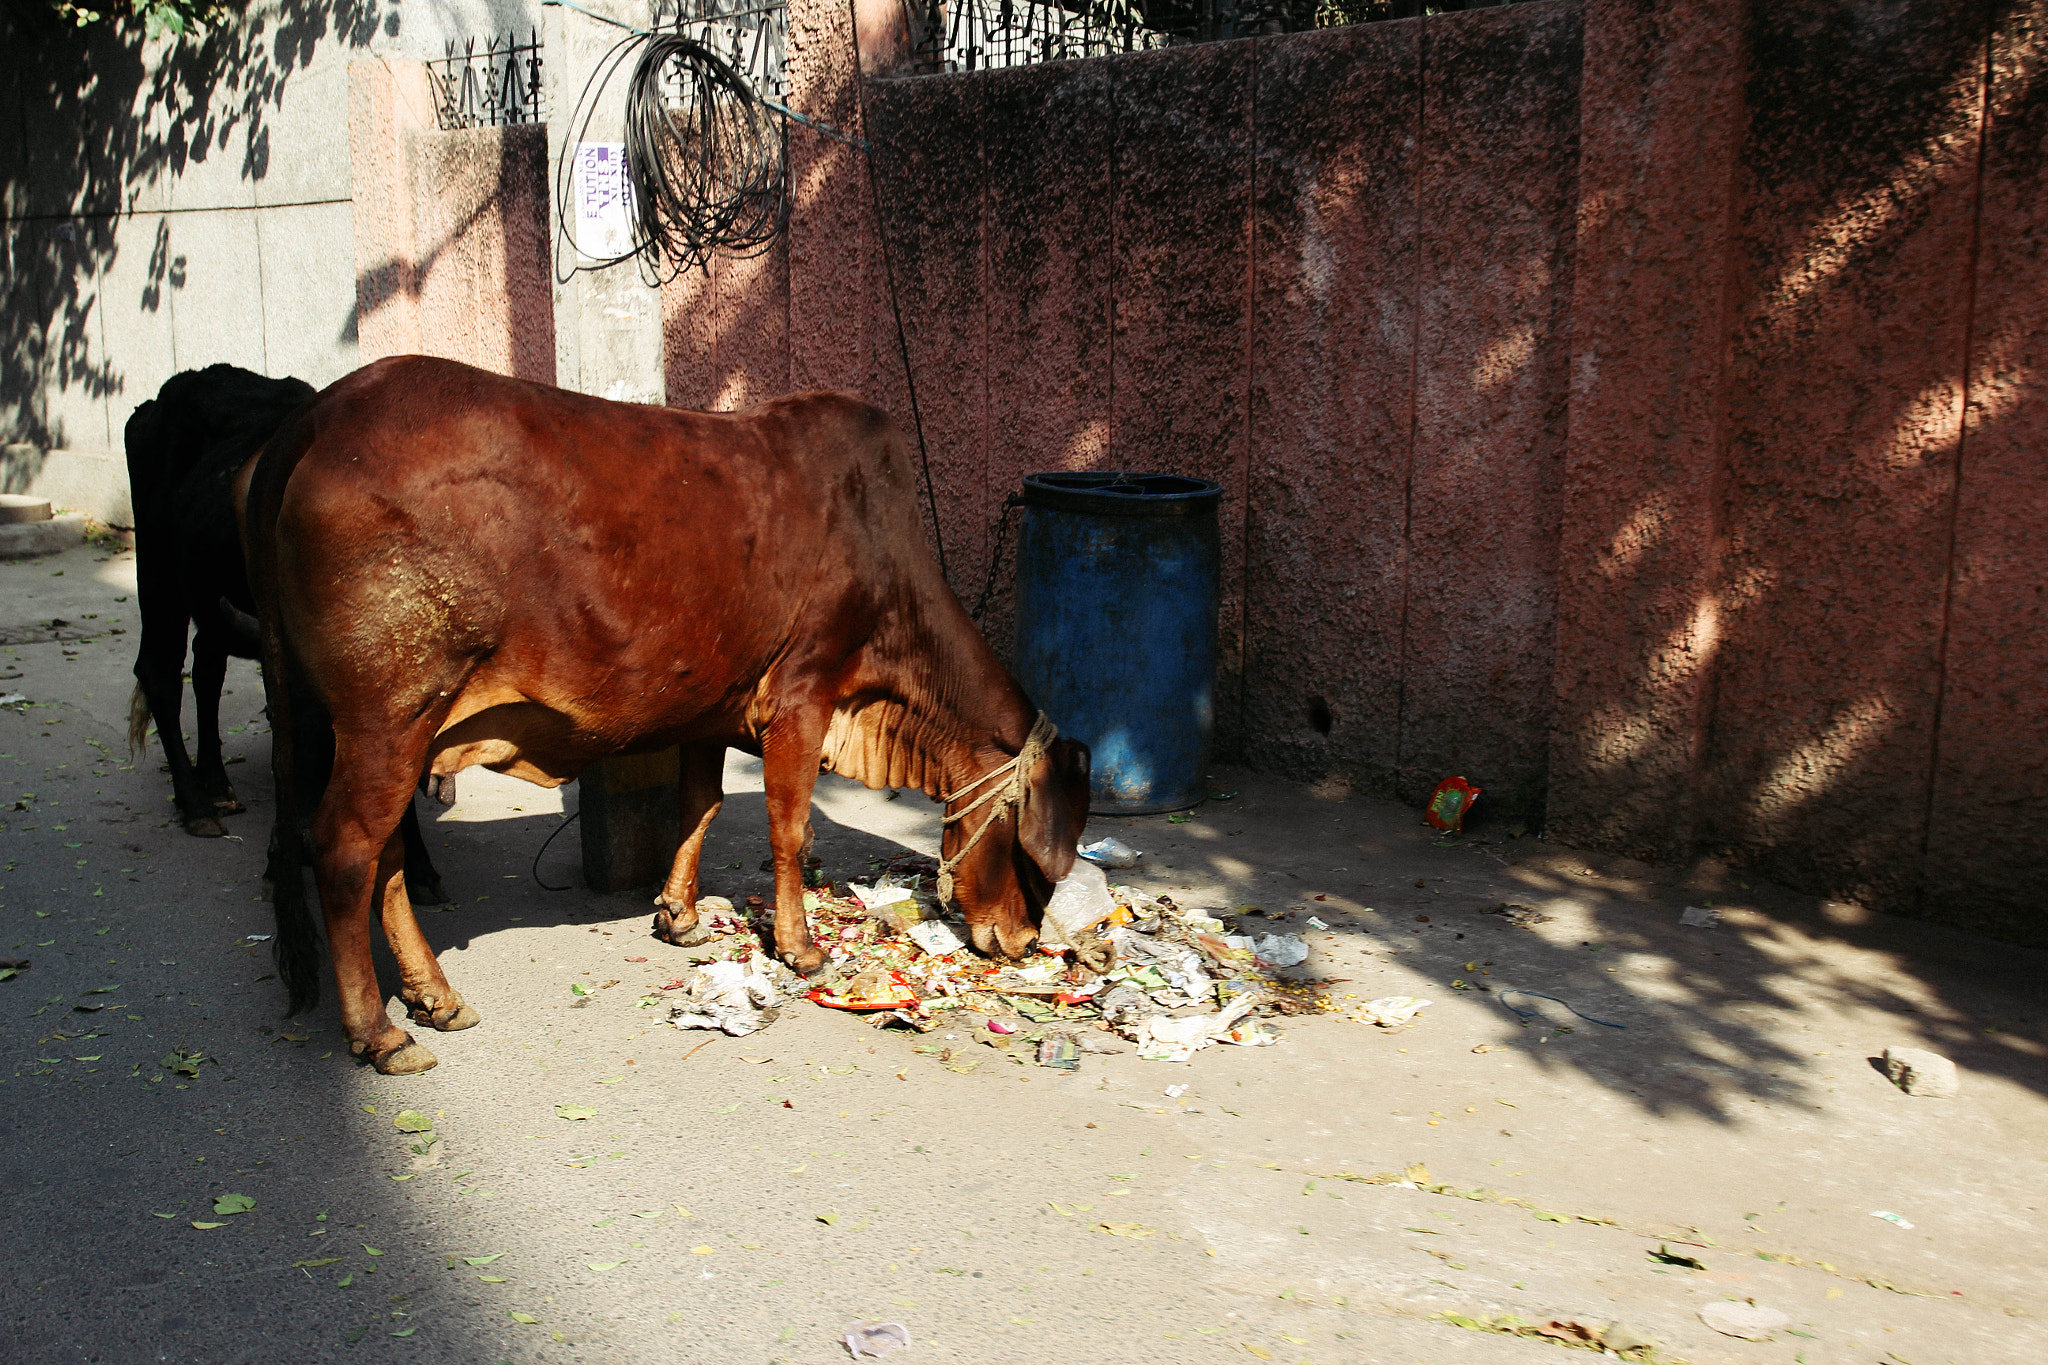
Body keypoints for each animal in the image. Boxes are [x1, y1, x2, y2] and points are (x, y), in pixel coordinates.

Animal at [239, 356, 1089, 1080]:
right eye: (1030, 852)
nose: (1024, 942)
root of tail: (321, 412)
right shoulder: (803, 692)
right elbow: (791, 828)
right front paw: (802, 947)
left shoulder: (715, 705)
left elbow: (700, 805)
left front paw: (678, 914)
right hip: (390, 717)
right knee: (346, 848)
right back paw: (379, 1031)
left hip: (384, 729)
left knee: (384, 852)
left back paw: (434, 995)